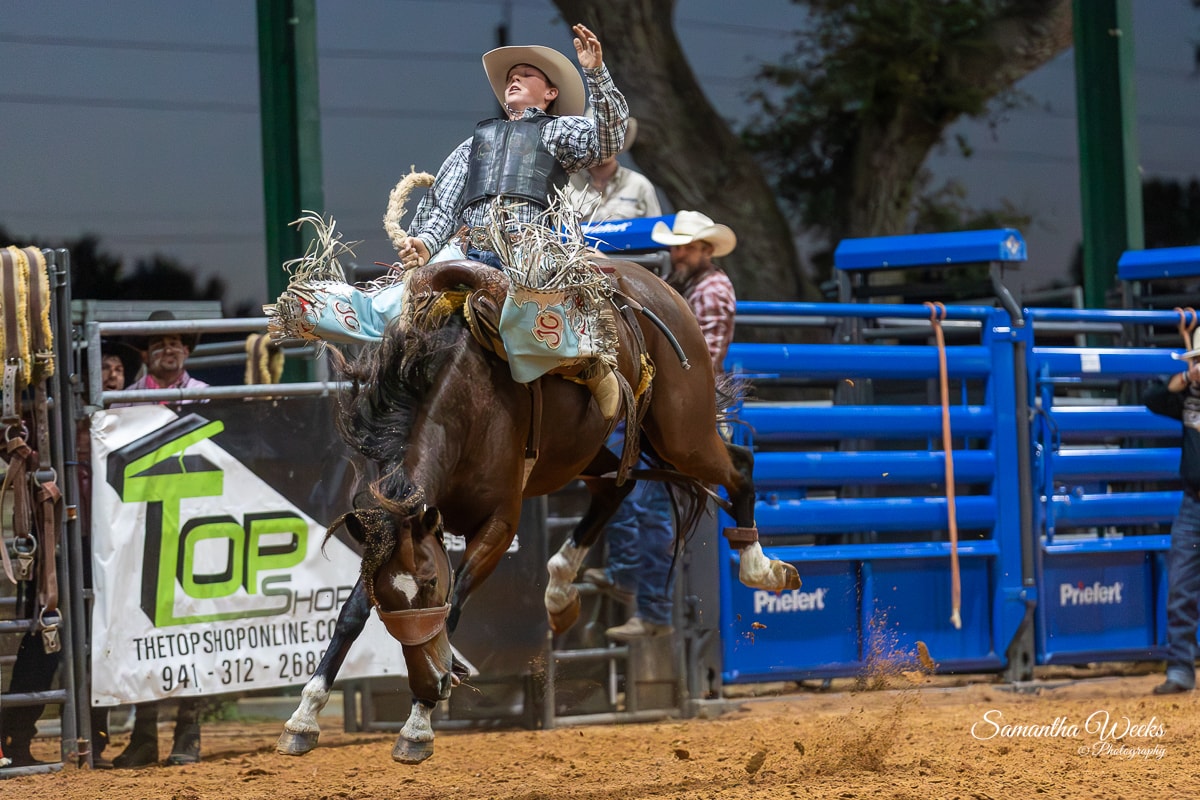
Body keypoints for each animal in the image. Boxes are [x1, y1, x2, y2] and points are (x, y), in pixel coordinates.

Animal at [275, 258, 800, 763]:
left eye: (428, 585)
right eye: (391, 597)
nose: (431, 682)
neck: (464, 405)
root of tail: (661, 286)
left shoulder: (500, 525)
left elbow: (454, 607)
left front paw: (420, 721)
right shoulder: (391, 536)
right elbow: (351, 614)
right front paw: (303, 716)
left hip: (681, 431)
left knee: (739, 466)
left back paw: (762, 567)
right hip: (586, 451)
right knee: (617, 488)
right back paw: (561, 589)